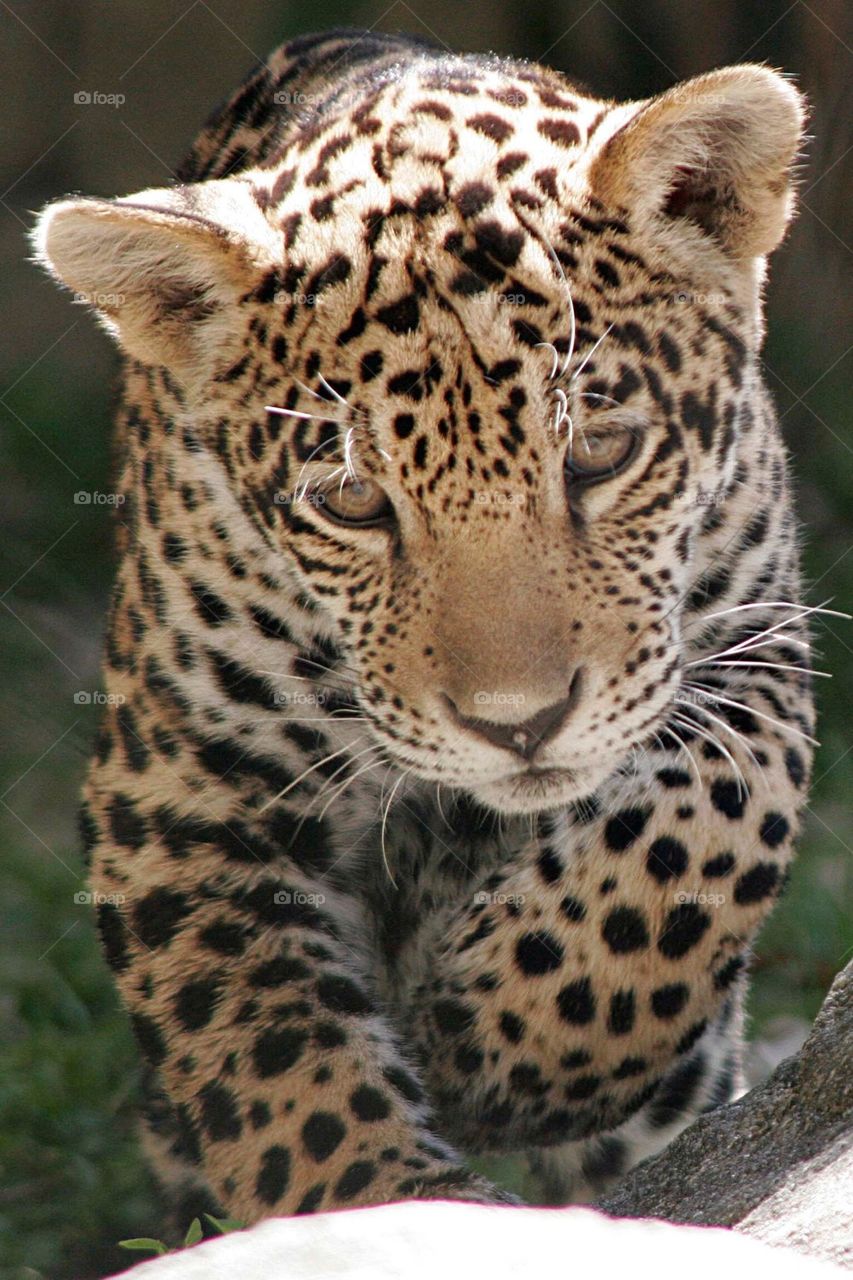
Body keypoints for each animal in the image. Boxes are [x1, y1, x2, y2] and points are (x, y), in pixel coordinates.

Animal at [34, 27, 817, 1228]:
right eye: (353, 501)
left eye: (601, 451)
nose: (520, 724)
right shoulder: (184, 784)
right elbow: (274, 1058)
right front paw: (391, 1200)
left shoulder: (753, 650)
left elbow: (703, 828)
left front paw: (490, 1045)